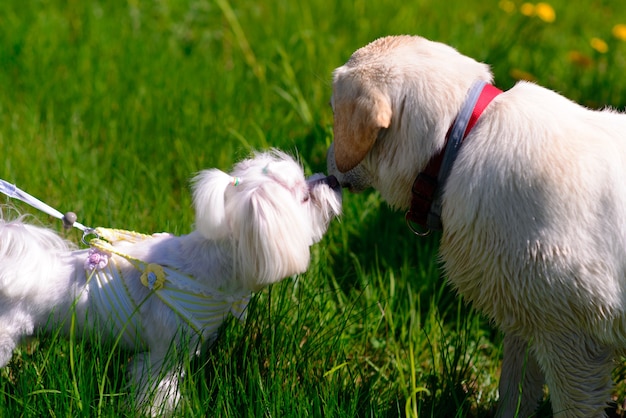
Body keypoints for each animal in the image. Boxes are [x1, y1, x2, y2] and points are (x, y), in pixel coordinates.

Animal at [326, 34, 626, 416]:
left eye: (334, 111)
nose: (326, 165)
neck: (458, 141)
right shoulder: (527, 314)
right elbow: (514, 394)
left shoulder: (571, 338)